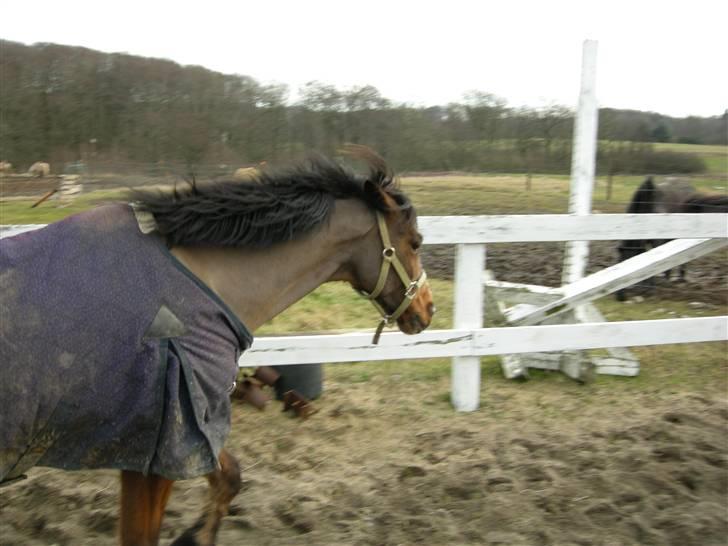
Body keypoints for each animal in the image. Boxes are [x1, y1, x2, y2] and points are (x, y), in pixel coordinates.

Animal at [0, 146, 435, 546]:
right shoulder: (160, 447)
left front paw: (195, 535)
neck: (197, 288)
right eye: (415, 242)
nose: (427, 310)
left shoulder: (187, 437)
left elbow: (230, 478)